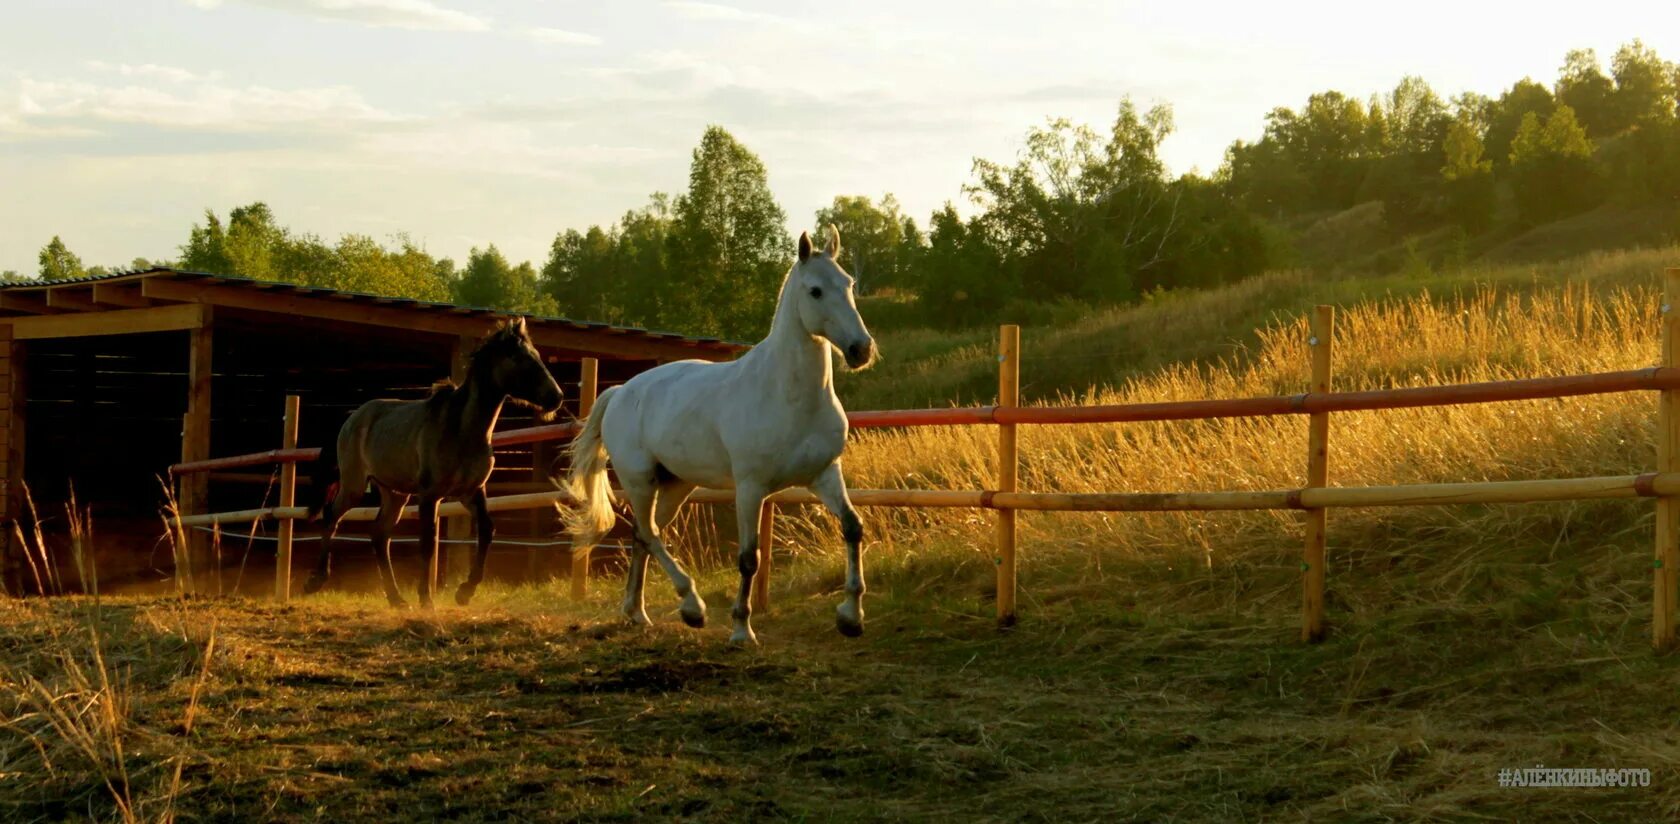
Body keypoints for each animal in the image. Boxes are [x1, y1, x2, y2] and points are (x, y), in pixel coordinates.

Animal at [304, 317, 564, 608]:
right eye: (518, 357)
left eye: (537, 355)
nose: (556, 397)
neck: (462, 429)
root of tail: (352, 418)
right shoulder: (430, 495)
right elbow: (429, 541)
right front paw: (427, 599)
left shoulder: (471, 492)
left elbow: (487, 530)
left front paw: (465, 592)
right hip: (354, 485)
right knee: (332, 516)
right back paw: (315, 581)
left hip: (394, 493)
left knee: (379, 535)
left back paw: (396, 599)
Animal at [564, 225, 880, 642]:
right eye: (815, 291)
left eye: (849, 284)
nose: (862, 350)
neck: (789, 396)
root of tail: (620, 392)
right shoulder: (750, 487)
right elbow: (749, 558)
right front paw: (741, 630)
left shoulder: (824, 474)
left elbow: (852, 528)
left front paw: (851, 617)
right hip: (639, 480)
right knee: (648, 534)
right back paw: (691, 606)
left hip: (675, 485)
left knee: (644, 534)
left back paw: (638, 612)